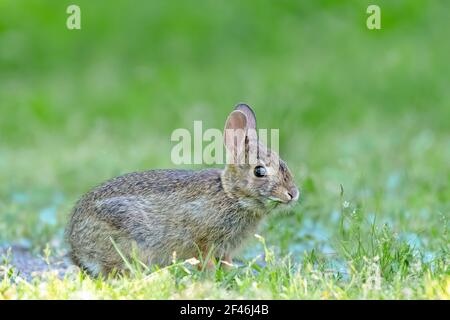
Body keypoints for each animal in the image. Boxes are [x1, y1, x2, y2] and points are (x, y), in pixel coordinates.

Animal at [65, 104, 298, 276]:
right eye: (259, 171)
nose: (293, 194)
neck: (231, 195)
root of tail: (76, 245)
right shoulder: (203, 238)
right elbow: (206, 258)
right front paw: (211, 277)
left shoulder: (226, 249)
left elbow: (226, 261)